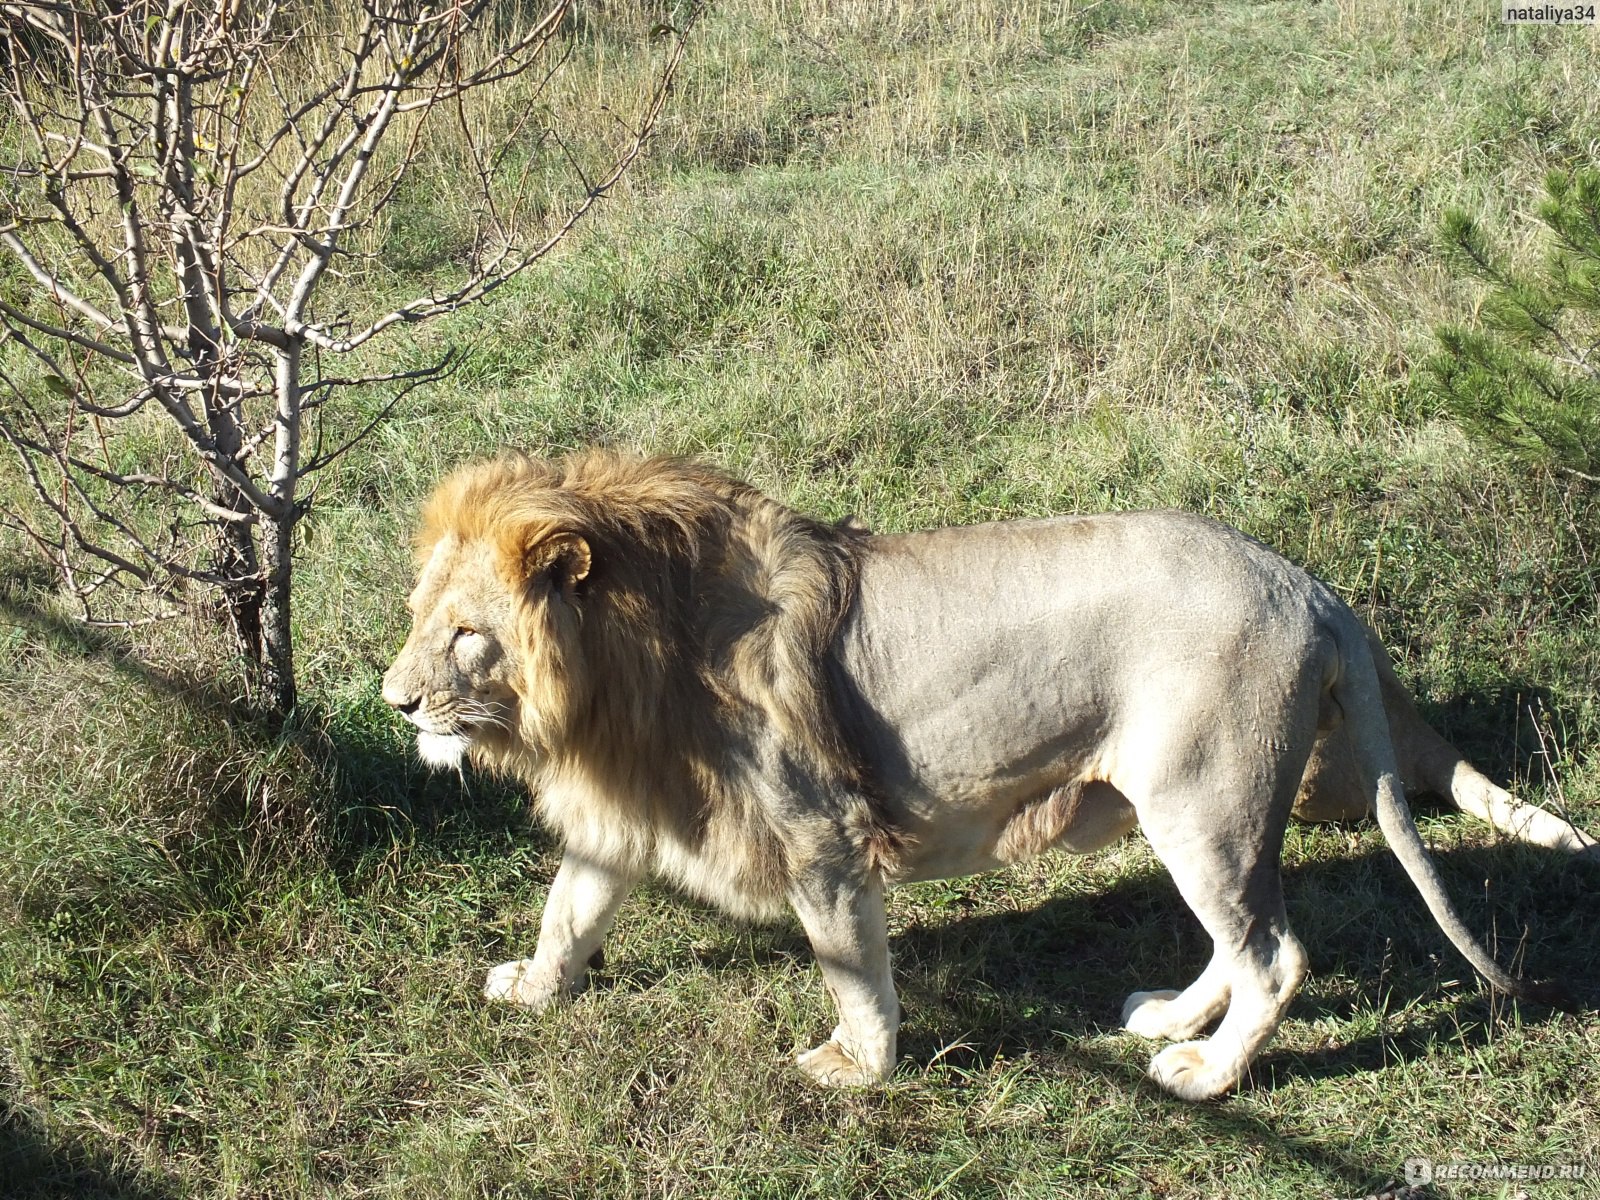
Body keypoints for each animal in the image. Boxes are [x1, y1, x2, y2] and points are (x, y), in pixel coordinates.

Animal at [380, 448, 1593, 1100]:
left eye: (468, 637)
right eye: (420, 619)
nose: (394, 704)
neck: (607, 684)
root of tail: (1310, 584)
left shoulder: (820, 832)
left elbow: (852, 969)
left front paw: (857, 1069)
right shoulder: (623, 814)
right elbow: (568, 910)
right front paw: (535, 990)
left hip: (1204, 798)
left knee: (1277, 956)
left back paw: (1206, 1073)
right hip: (1199, 811)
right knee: (1241, 940)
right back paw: (1170, 1019)